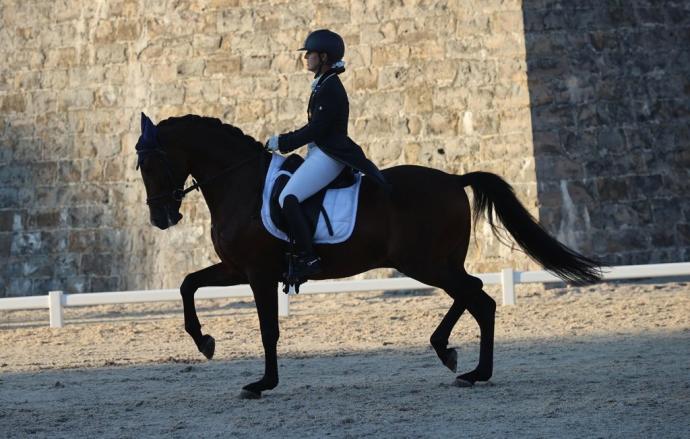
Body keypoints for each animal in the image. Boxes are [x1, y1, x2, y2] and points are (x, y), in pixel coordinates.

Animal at [133, 112, 596, 398]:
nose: (161, 217)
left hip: (425, 264)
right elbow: (188, 284)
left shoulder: (257, 272)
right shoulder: (236, 268)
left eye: (152, 164)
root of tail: (453, 178)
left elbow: (268, 330)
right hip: (438, 263)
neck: (240, 185)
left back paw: (463, 364)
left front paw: (261, 383)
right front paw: (205, 342)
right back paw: (459, 361)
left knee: (477, 296)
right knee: (477, 296)